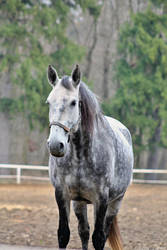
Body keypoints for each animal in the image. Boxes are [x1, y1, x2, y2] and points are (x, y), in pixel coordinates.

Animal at [46, 64, 134, 250]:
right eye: (49, 102)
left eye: (73, 102)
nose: (55, 145)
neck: (81, 156)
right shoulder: (62, 194)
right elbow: (64, 234)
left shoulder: (101, 199)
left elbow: (99, 238)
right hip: (79, 202)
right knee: (84, 231)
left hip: (116, 202)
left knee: (103, 232)